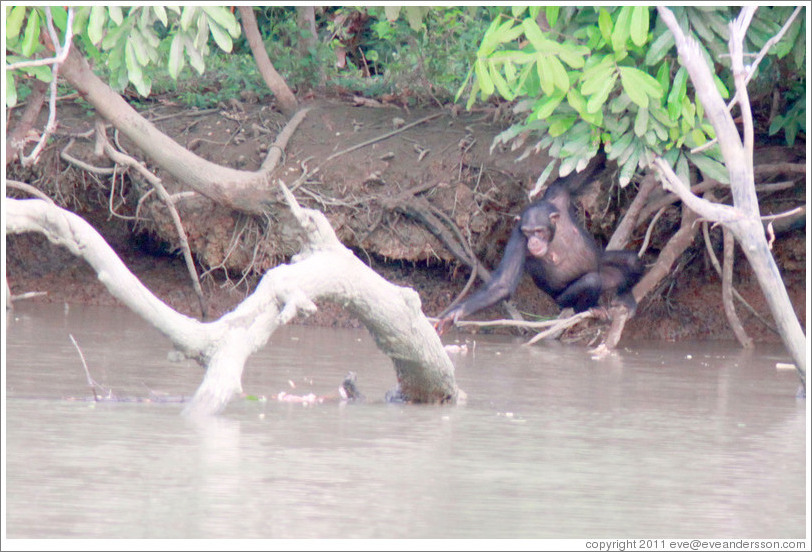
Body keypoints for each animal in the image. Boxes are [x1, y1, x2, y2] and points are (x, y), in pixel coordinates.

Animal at [434, 163, 644, 336]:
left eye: (538, 231)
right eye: (528, 232)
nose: (533, 242)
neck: (553, 233)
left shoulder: (558, 193)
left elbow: (587, 168)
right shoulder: (518, 238)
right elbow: (502, 284)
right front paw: (455, 313)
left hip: (602, 267)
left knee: (631, 261)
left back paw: (625, 296)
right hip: (563, 301)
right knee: (591, 280)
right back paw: (589, 309)